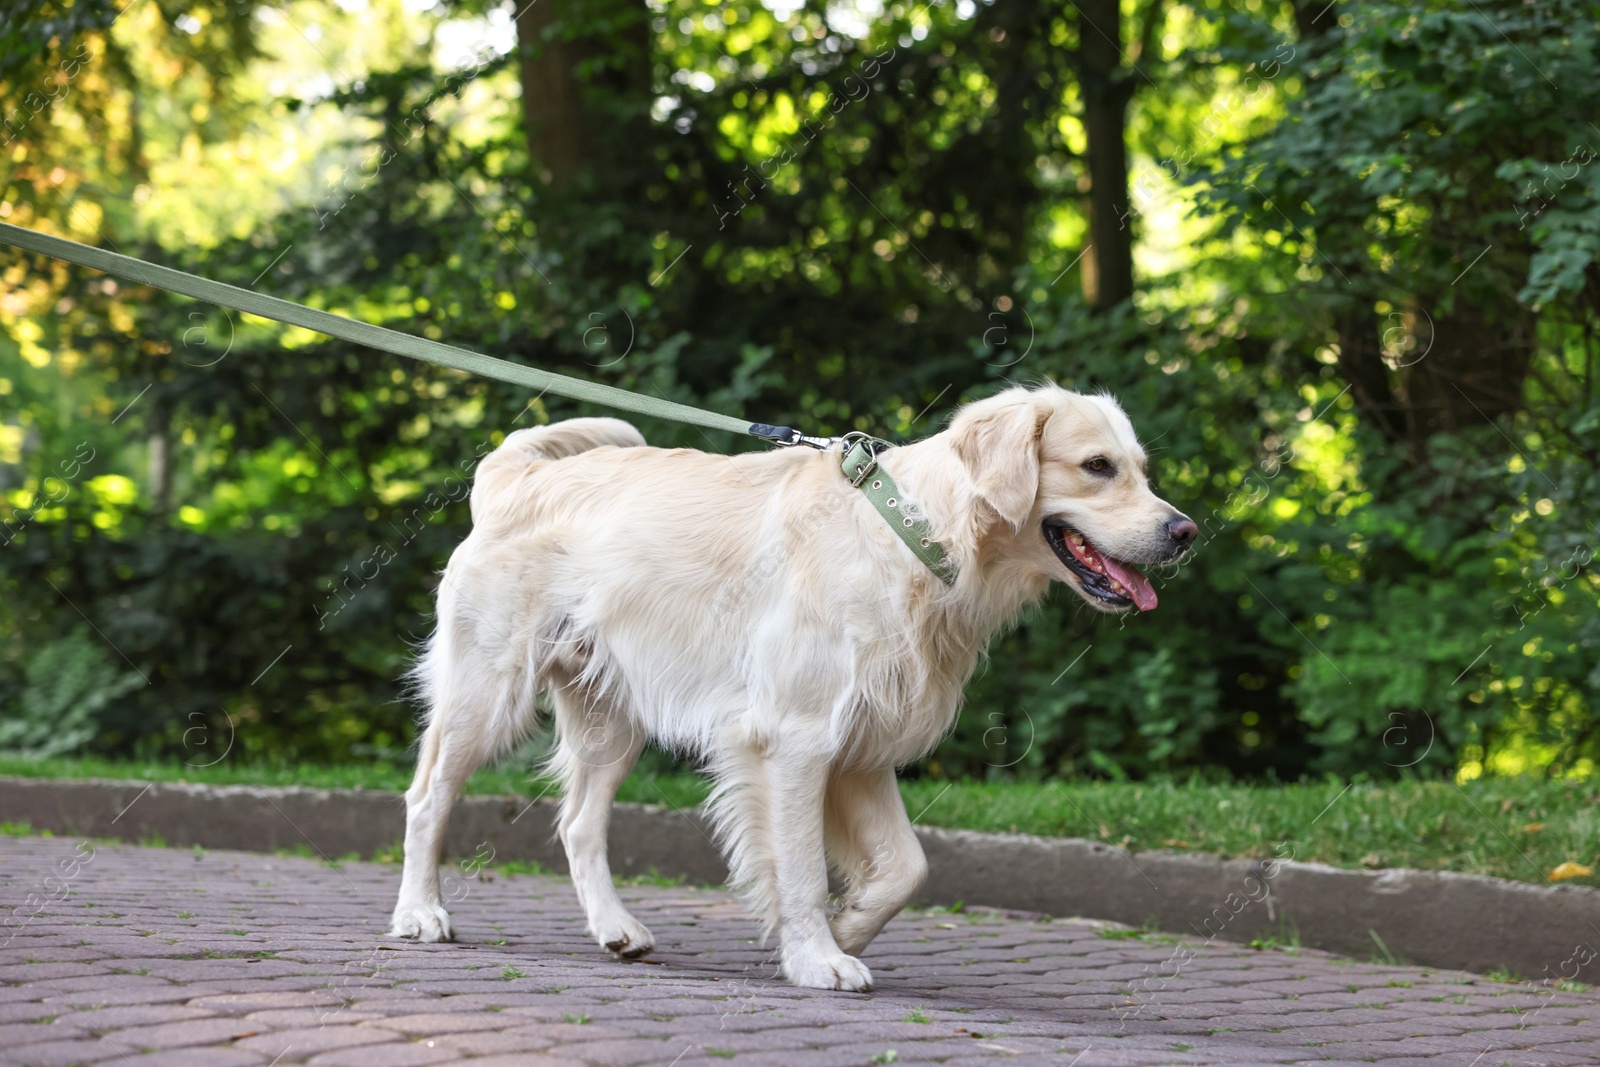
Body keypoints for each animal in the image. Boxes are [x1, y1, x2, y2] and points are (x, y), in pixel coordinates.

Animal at [390, 383, 1190, 991]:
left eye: (1140, 469)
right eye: (1097, 466)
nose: (1185, 531)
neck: (913, 534)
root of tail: (511, 476)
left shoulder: (862, 747)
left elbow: (908, 867)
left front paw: (847, 927)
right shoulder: (797, 739)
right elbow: (802, 867)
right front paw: (817, 957)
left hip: (610, 721)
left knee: (579, 824)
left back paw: (616, 927)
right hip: (487, 693)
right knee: (427, 799)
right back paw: (419, 914)